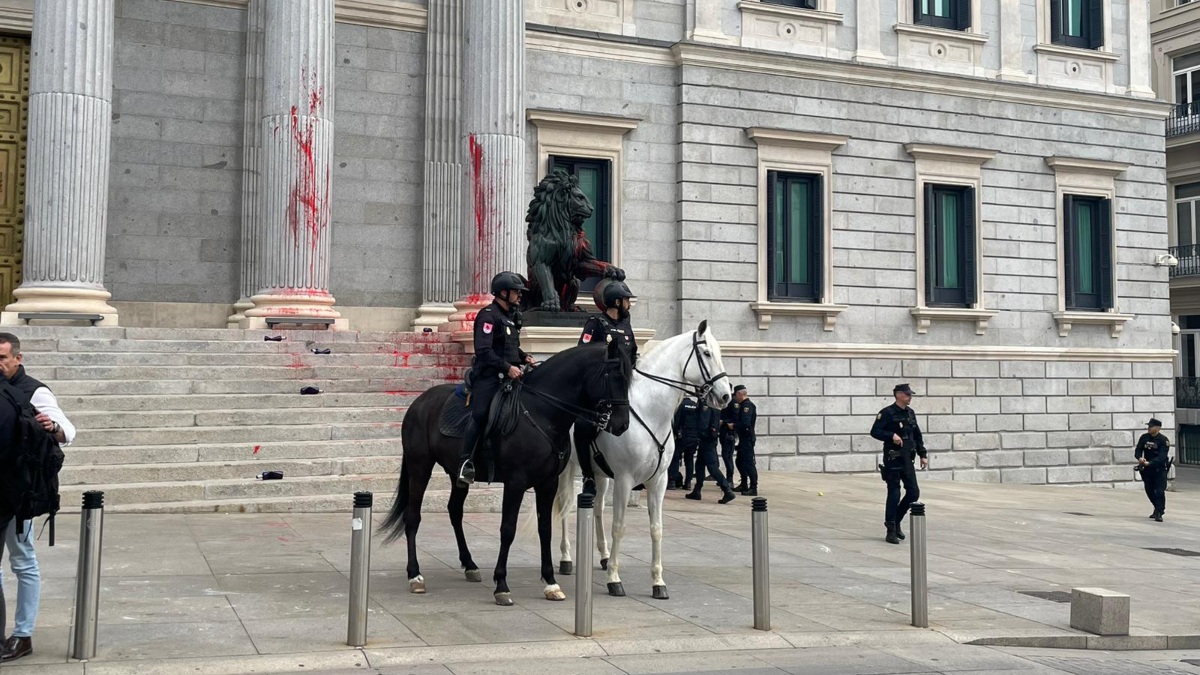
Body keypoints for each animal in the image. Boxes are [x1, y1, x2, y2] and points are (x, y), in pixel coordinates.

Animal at [384, 336, 633, 605]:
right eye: (613, 375)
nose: (622, 424)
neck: (542, 412)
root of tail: (418, 403)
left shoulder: (548, 483)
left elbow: (545, 529)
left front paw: (551, 582)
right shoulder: (515, 483)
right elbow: (507, 529)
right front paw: (501, 585)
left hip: (456, 474)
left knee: (454, 511)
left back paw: (469, 564)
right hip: (420, 467)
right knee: (412, 517)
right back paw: (415, 575)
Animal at [552, 317, 729, 595]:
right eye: (707, 353)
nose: (725, 395)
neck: (650, 412)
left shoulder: (659, 481)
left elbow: (656, 529)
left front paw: (658, 581)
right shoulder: (625, 479)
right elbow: (619, 526)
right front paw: (615, 579)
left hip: (600, 474)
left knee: (598, 507)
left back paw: (603, 555)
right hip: (567, 469)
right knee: (564, 506)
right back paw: (567, 558)